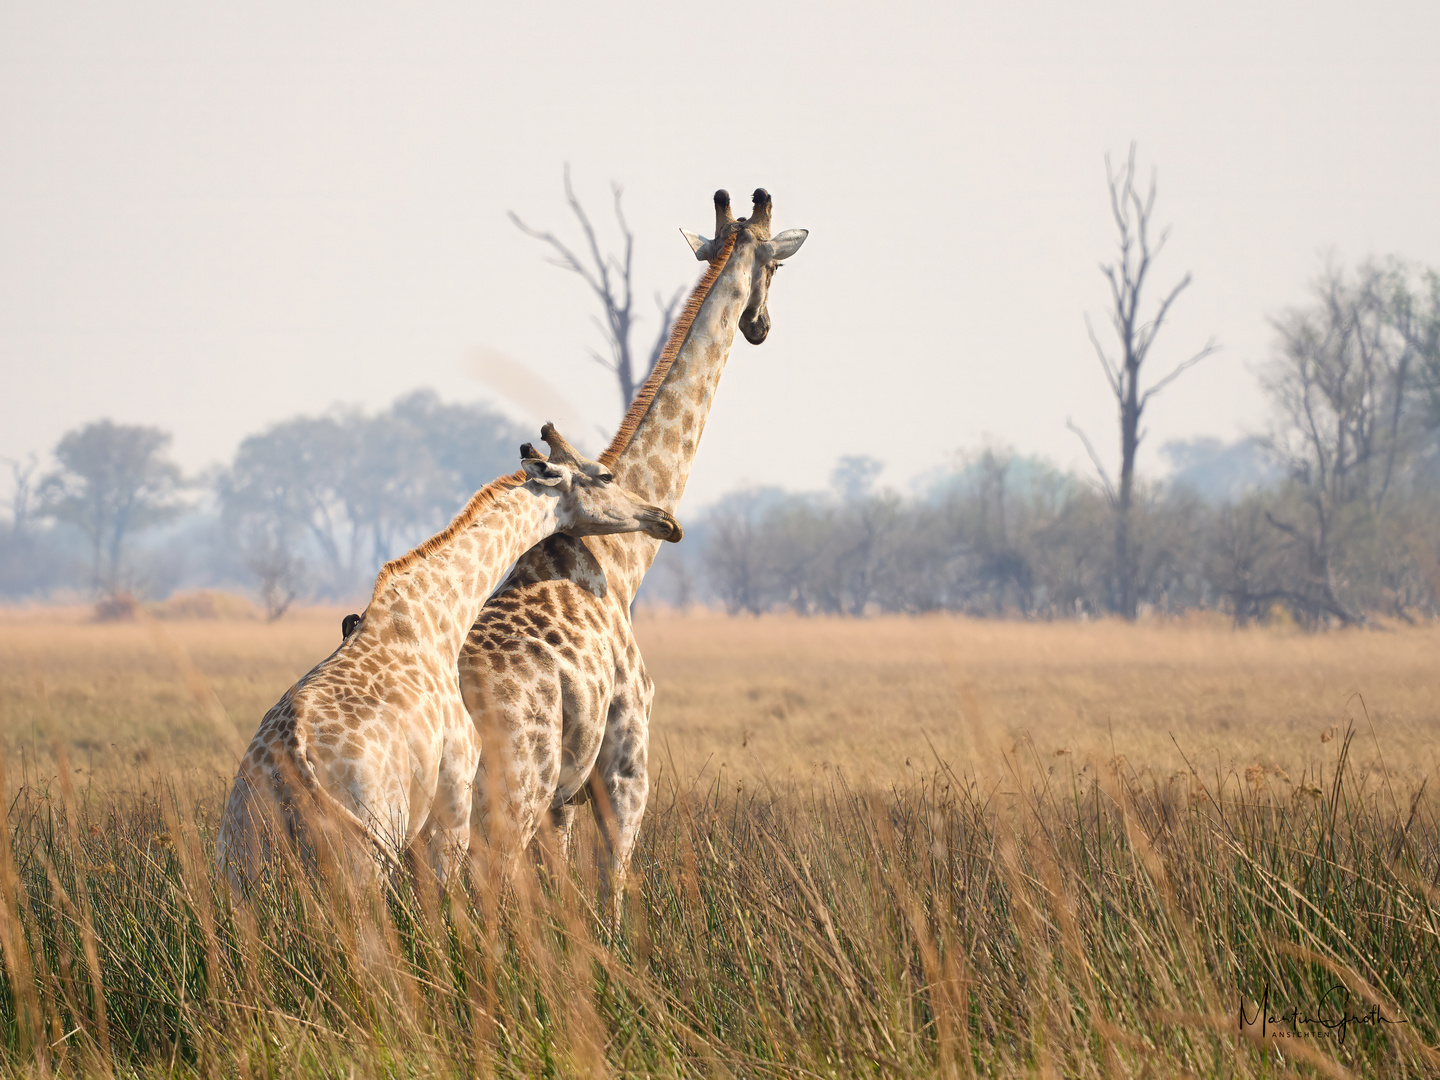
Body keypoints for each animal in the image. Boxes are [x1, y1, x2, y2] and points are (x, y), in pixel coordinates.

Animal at [213, 426, 679, 892]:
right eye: (605, 475)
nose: (665, 521)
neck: (439, 614)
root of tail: (292, 757)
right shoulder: (454, 795)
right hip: (367, 848)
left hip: (239, 850)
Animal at [455, 190, 806, 898]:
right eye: (776, 265)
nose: (761, 326)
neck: (621, 563)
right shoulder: (626, 760)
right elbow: (612, 887)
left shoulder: (564, 798)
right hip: (513, 792)